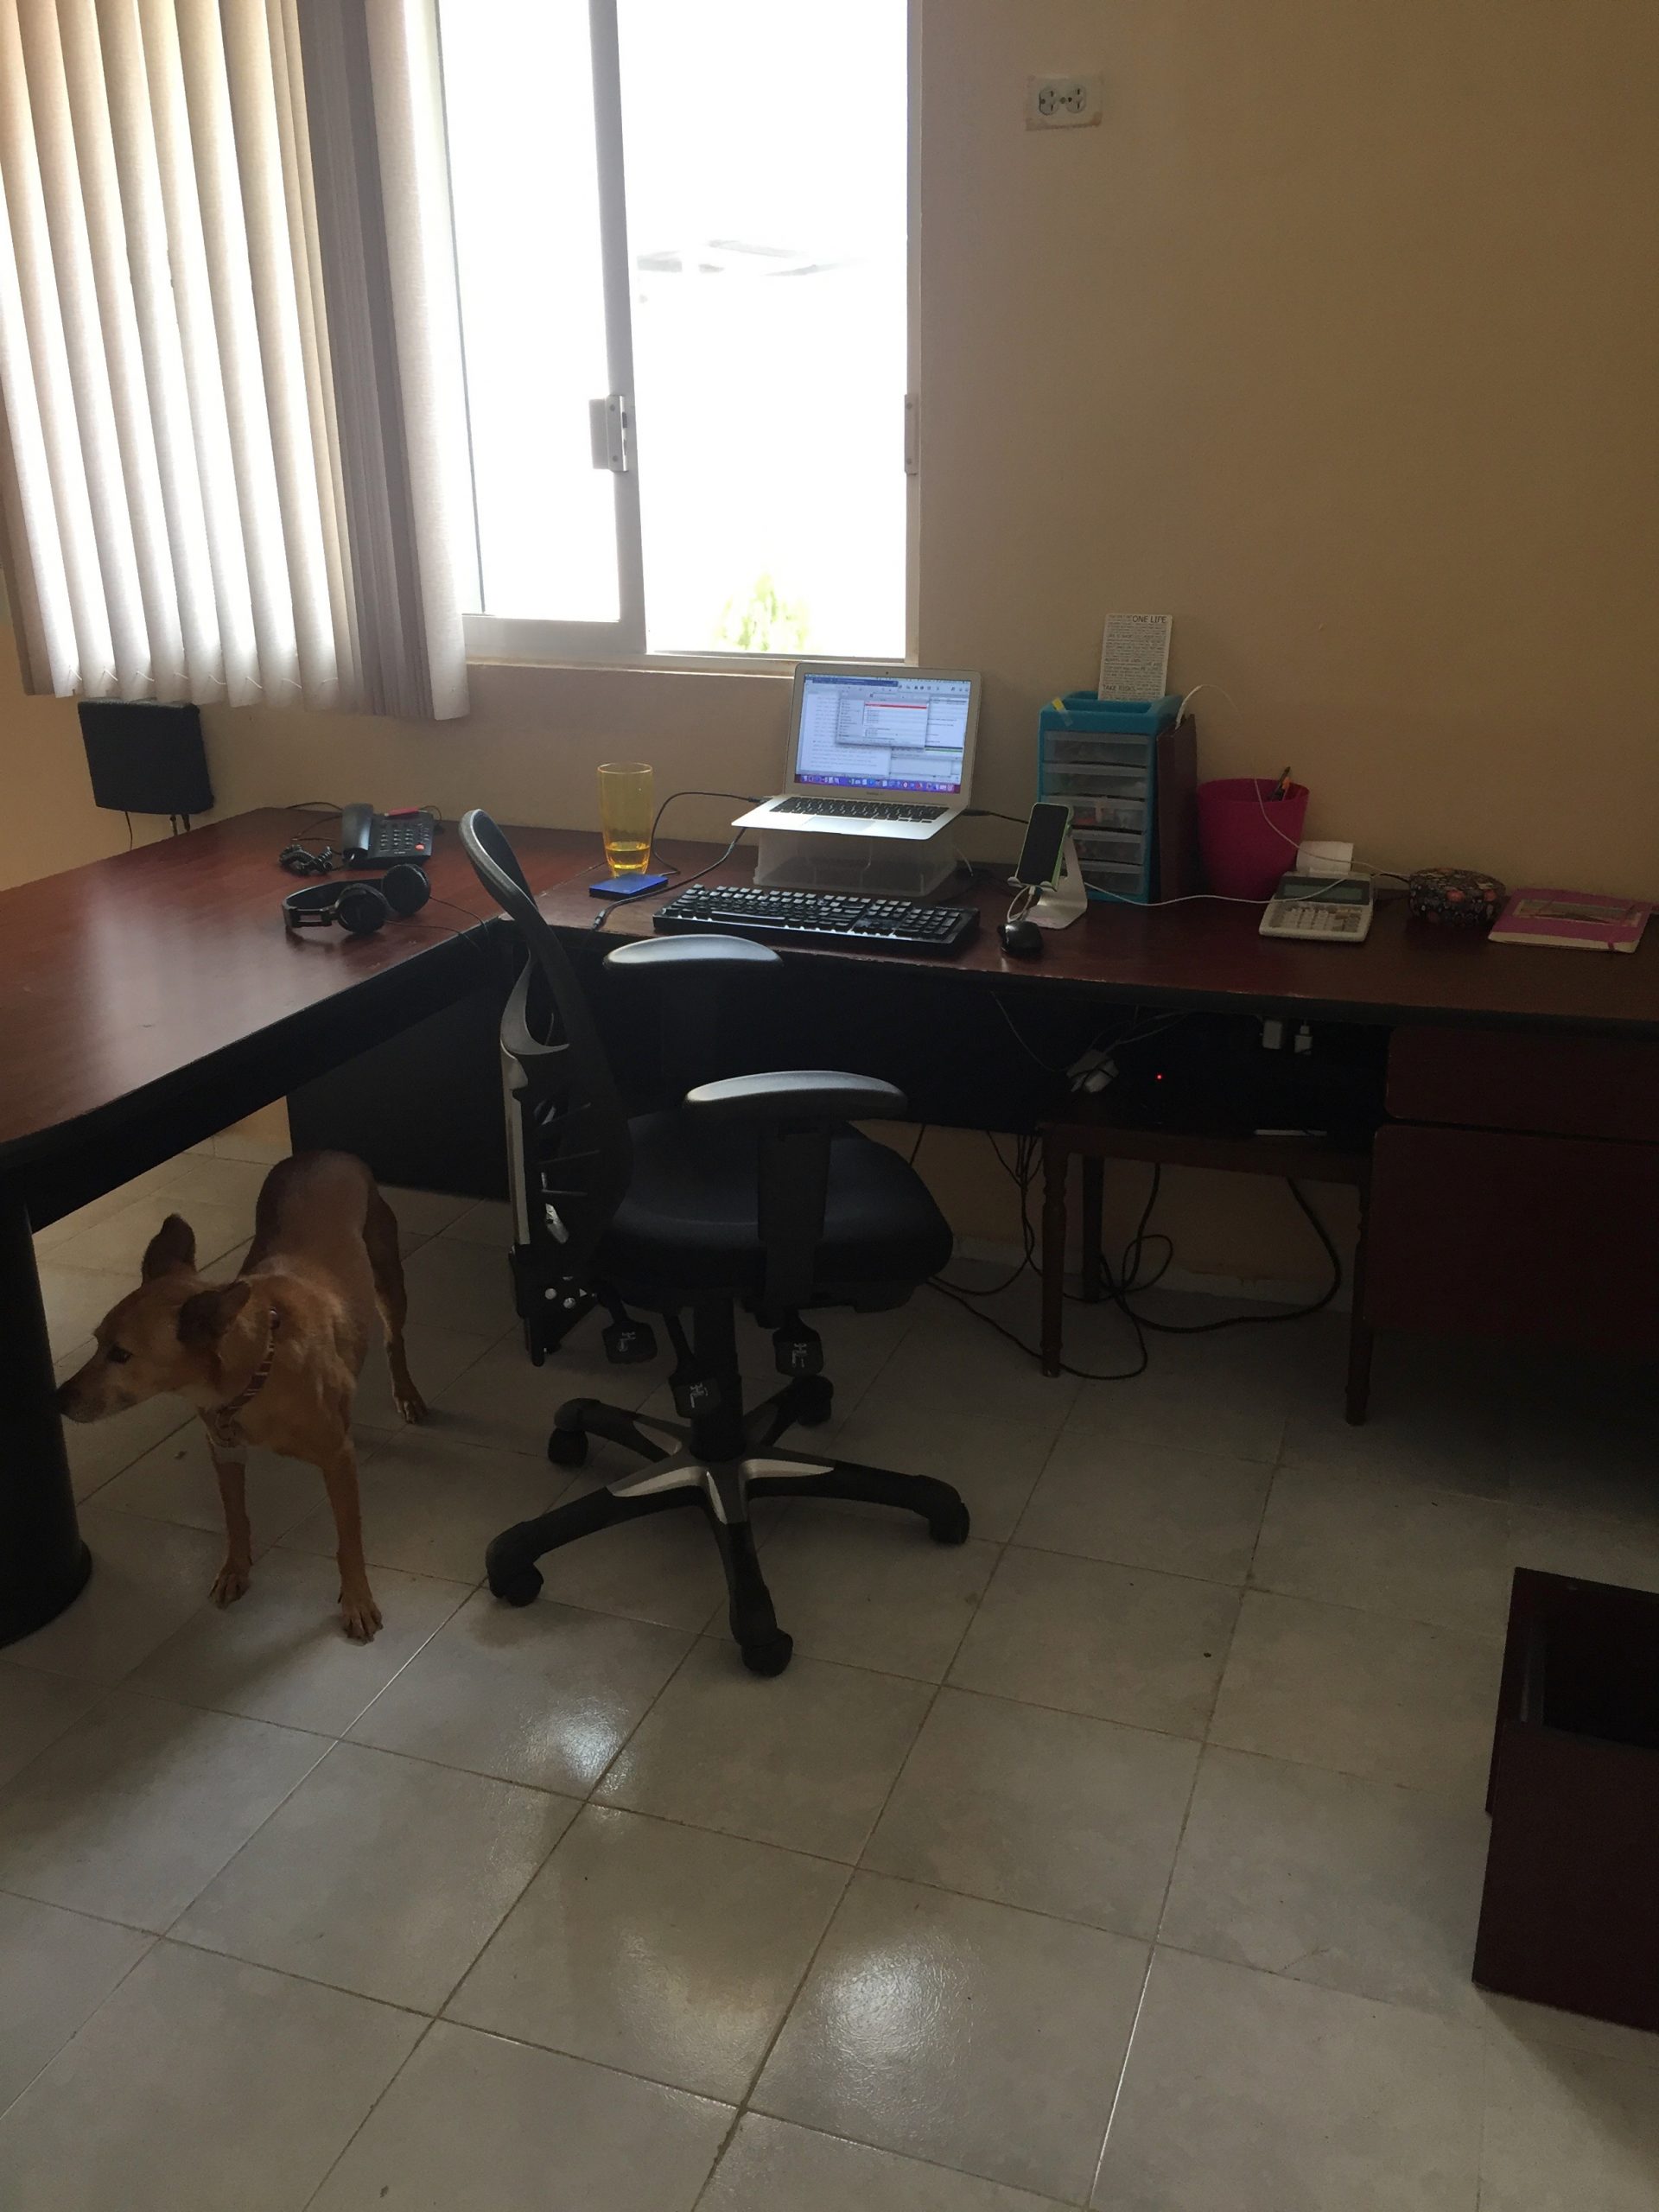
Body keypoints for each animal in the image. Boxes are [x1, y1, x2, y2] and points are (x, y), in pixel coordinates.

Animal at [57, 1152, 425, 1641]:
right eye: (96, 1342)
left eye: (121, 1354)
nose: (59, 1398)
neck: (254, 1372)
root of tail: (322, 1153)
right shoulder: (223, 1448)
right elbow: (235, 1517)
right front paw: (235, 1570)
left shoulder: (337, 1460)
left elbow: (348, 1541)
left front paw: (358, 1601)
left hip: (387, 1275)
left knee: (393, 1339)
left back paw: (406, 1393)